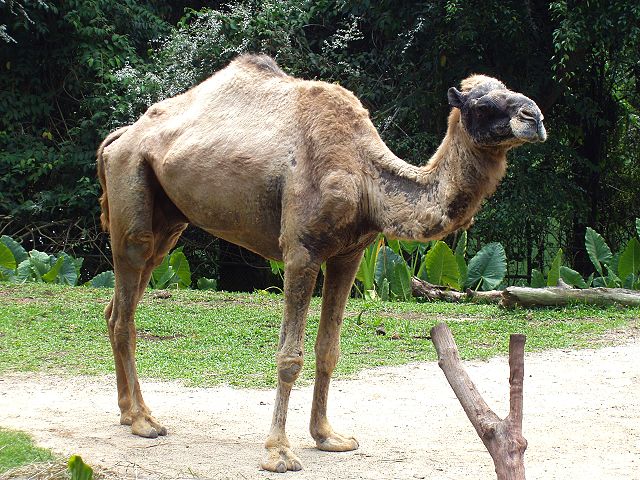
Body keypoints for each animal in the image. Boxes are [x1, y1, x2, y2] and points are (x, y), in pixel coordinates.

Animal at [97, 54, 548, 474]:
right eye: (482, 102)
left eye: (509, 89)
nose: (535, 117)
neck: (366, 179)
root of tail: (119, 138)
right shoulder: (301, 251)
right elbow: (289, 356)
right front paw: (278, 453)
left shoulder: (351, 254)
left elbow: (328, 348)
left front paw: (328, 437)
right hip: (132, 196)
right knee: (124, 304)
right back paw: (144, 422)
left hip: (169, 223)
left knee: (117, 306)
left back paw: (127, 412)